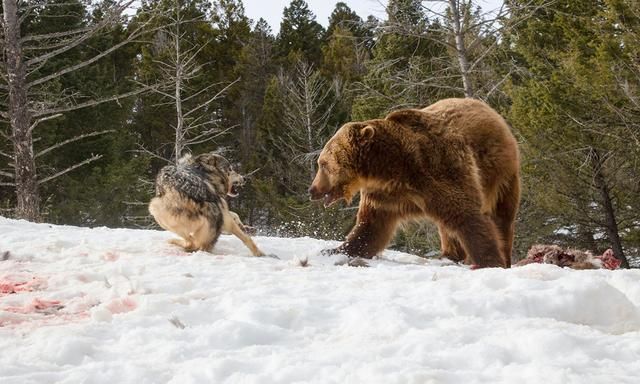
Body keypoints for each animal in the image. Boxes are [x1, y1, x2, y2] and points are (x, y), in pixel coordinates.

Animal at [308, 97, 520, 268]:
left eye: (323, 164)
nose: (312, 190)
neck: (392, 168)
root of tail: (488, 109)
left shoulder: (438, 167)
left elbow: (467, 214)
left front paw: (489, 261)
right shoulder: (385, 195)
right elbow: (370, 228)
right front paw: (333, 250)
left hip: (500, 172)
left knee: (502, 215)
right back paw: (448, 256)